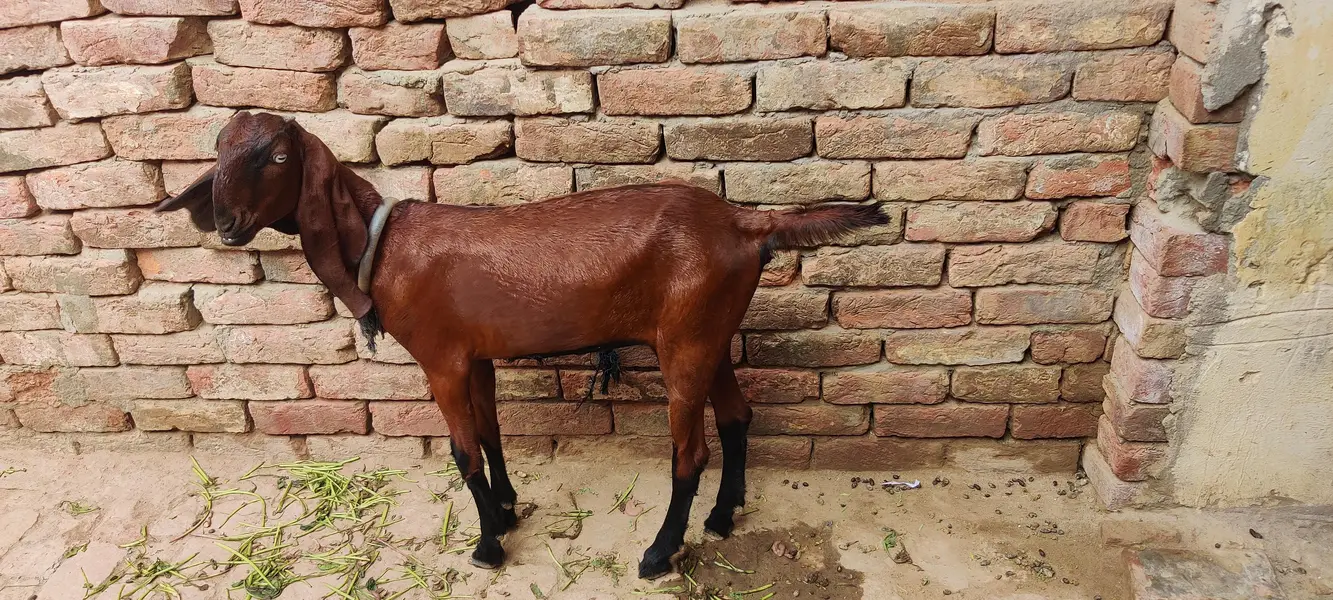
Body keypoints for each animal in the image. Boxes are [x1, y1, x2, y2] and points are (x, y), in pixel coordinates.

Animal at [157, 111, 887, 579]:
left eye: (278, 158)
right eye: (219, 150)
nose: (226, 223)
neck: (382, 244)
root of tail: (745, 222)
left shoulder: (440, 359)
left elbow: (462, 452)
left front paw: (486, 546)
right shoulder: (473, 355)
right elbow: (491, 434)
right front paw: (506, 512)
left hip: (685, 341)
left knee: (690, 452)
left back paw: (659, 553)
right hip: (711, 333)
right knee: (737, 415)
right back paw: (722, 517)